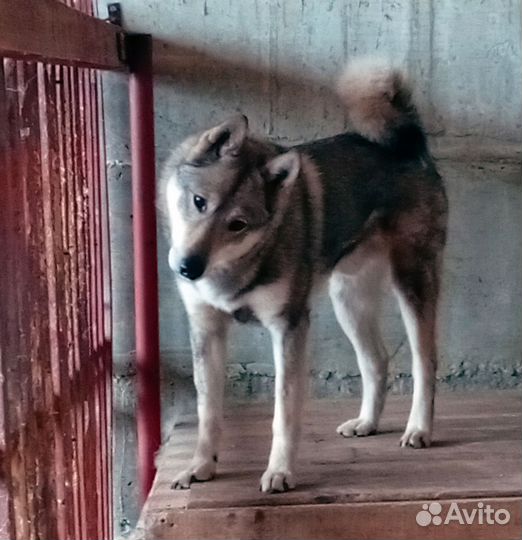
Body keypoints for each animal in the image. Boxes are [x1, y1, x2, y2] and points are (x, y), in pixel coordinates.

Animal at [159, 59, 446, 494]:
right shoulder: (206, 328)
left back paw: (418, 430)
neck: (238, 265)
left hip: (412, 282)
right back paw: (367, 422)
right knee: (376, 362)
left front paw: (280, 471)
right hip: (349, 300)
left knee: (423, 362)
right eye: (198, 202)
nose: (188, 268)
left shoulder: (289, 326)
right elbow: (208, 410)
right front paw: (200, 467)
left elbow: (284, 411)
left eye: (237, 224)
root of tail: (410, 144)